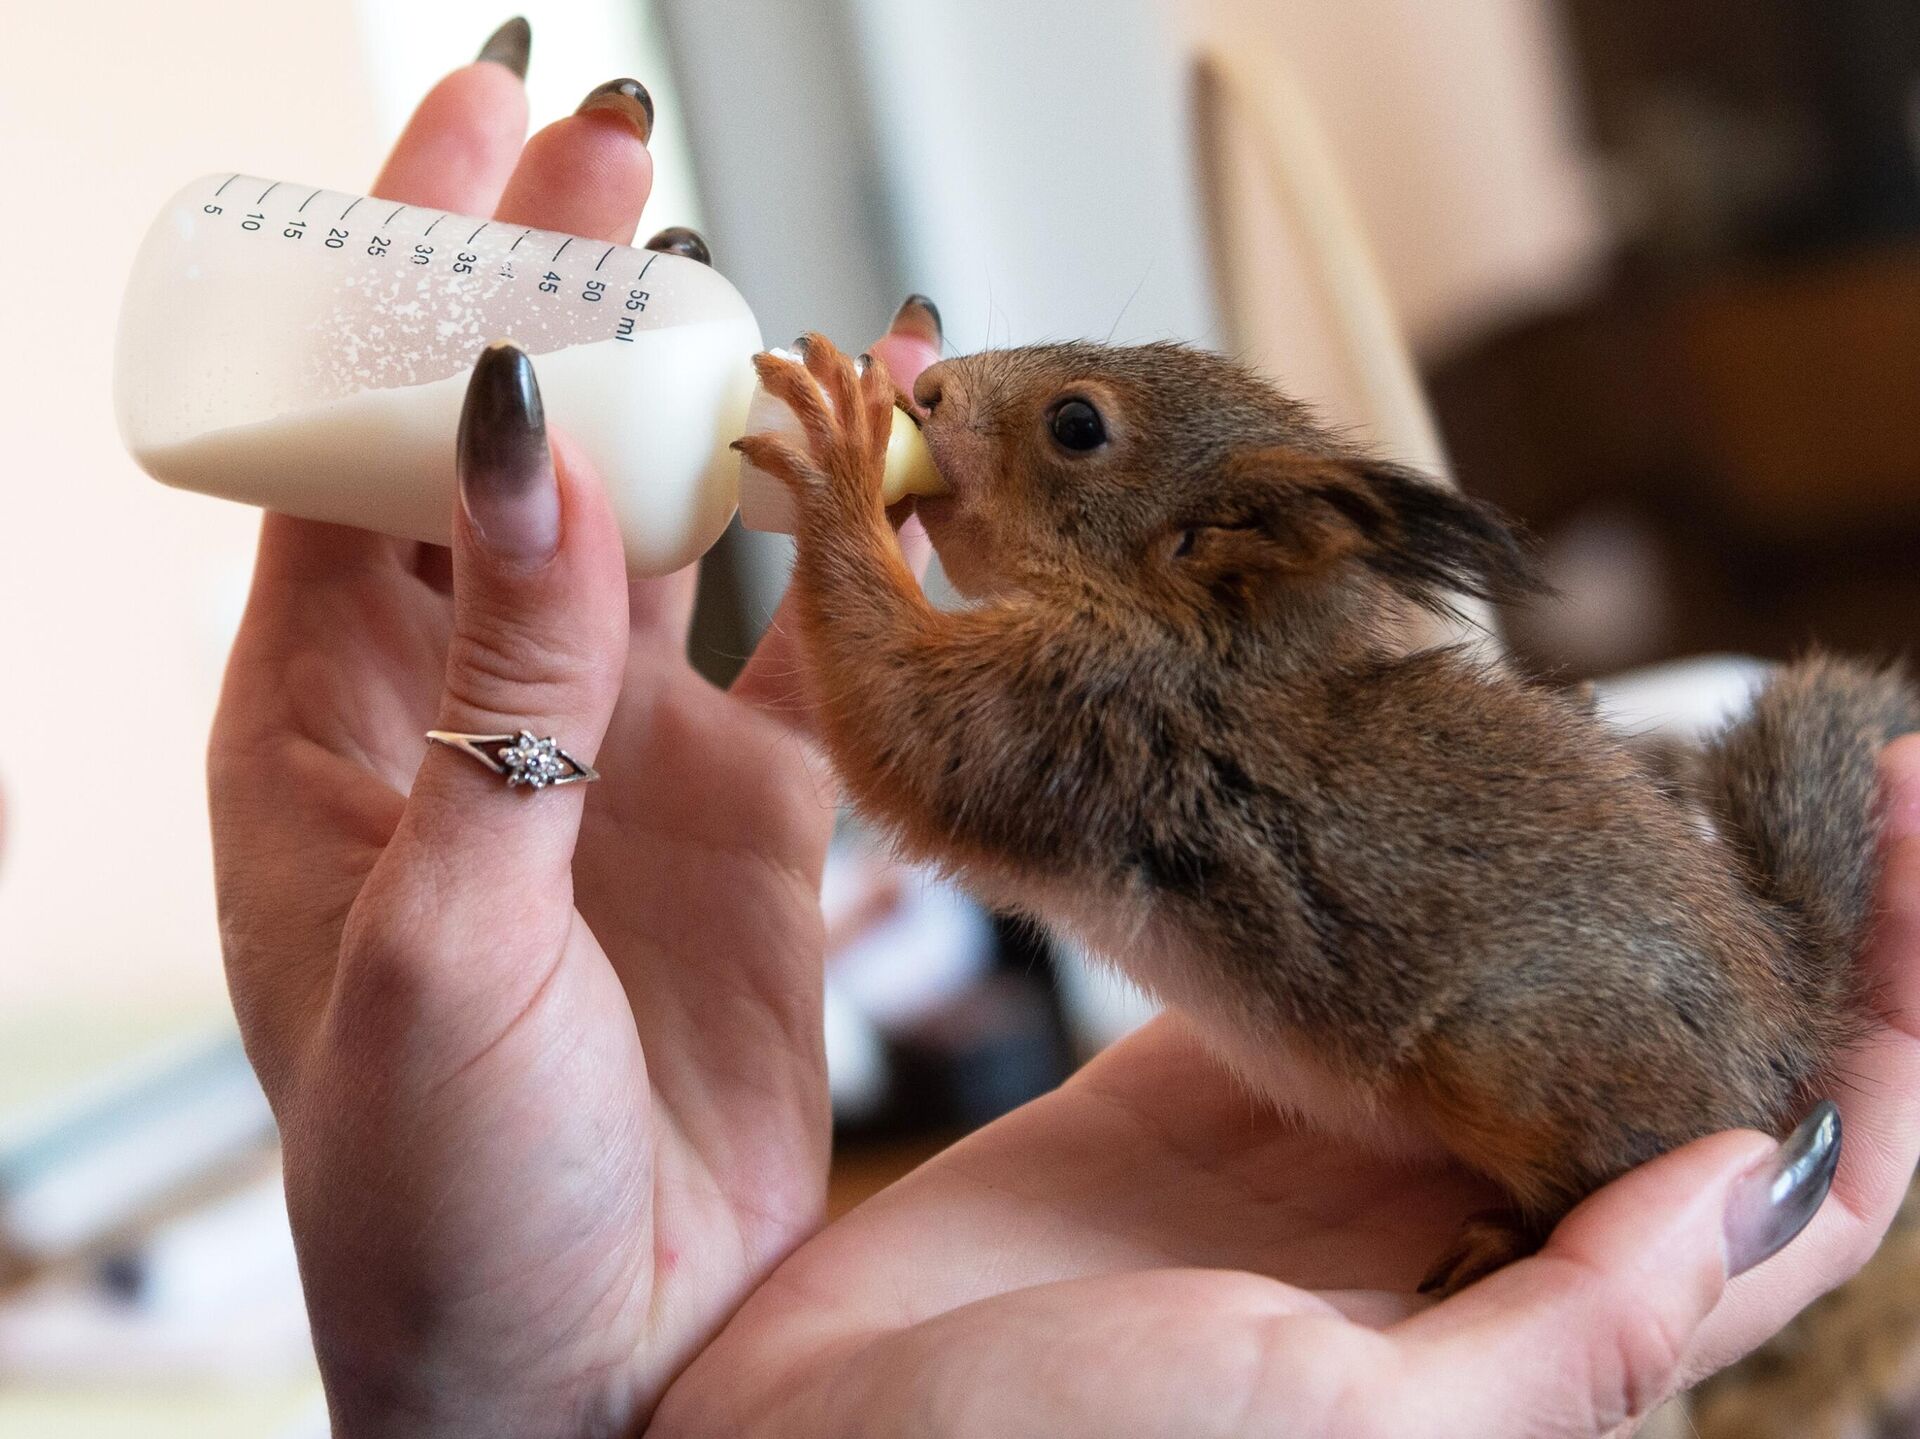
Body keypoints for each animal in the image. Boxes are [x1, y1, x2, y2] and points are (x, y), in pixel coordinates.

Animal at [737, 336, 1920, 1291]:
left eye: (1077, 425)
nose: (929, 387)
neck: (1200, 632)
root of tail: (1789, 1013)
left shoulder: (1069, 712)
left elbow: (893, 709)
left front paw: (841, 457)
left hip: (1515, 1051)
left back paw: (1513, 1232)